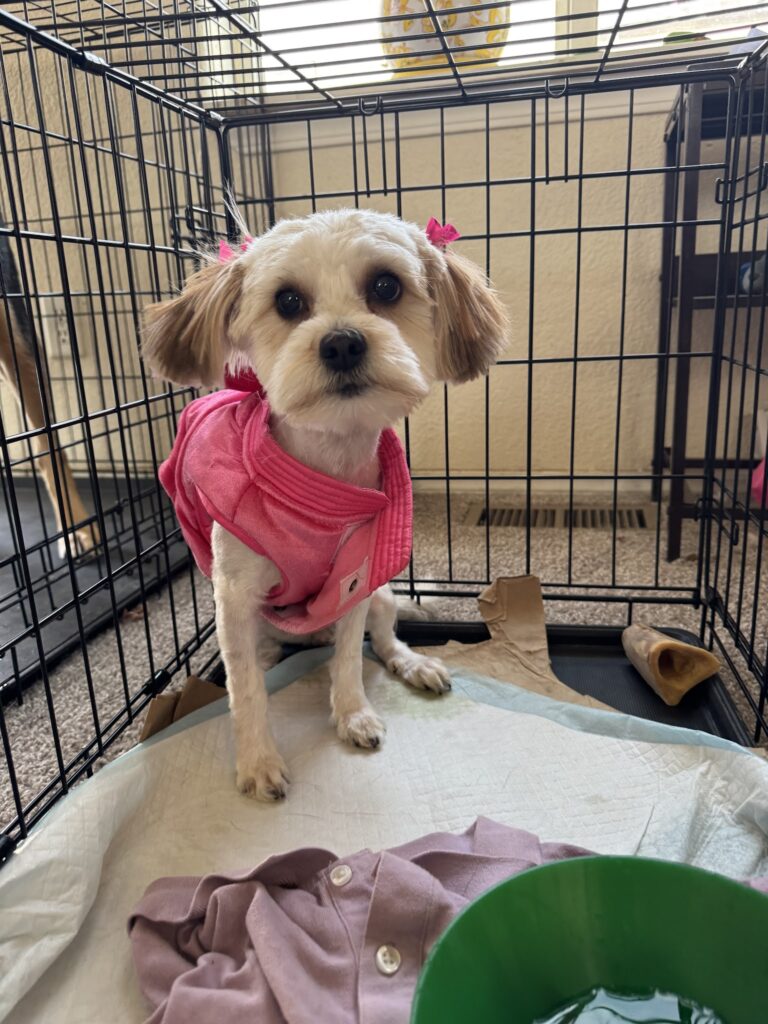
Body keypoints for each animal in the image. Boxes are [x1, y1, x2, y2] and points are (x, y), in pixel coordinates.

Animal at [142, 208, 508, 800]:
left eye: (386, 286)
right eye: (287, 300)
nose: (341, 344)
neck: (325, 474)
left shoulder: (354, 583)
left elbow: (348, 660)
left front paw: (353, 714)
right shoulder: (235, 597)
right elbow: (245, 689)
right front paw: (258, 760)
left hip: (382, 596)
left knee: (382, 640)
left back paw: (413, 665)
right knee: (259, 660)